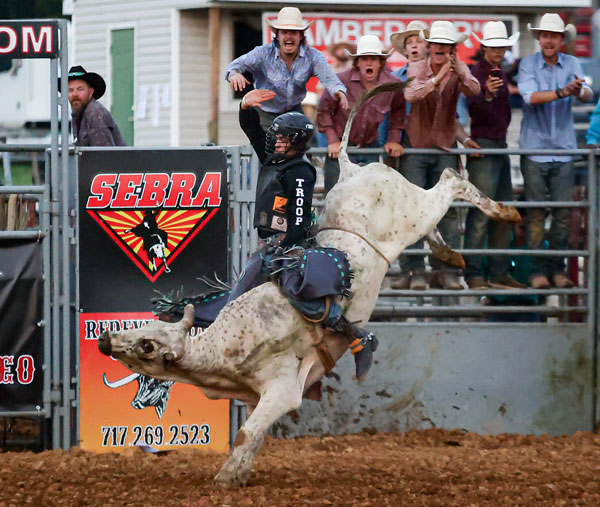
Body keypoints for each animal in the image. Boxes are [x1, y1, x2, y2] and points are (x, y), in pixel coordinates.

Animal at [96, 82, 516, 488]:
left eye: (147, 345)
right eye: (143, 328)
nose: (104, 341)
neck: (219, 351)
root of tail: (349, 169)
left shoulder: (282, 389)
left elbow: (247, 433)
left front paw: (227, 478)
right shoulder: (256, 397)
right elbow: (253, 436)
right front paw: (240, 472)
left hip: (413, 212)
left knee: (449, 182)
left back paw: (504, 211)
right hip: (413, 215)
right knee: (438, 208)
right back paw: (450, 254)